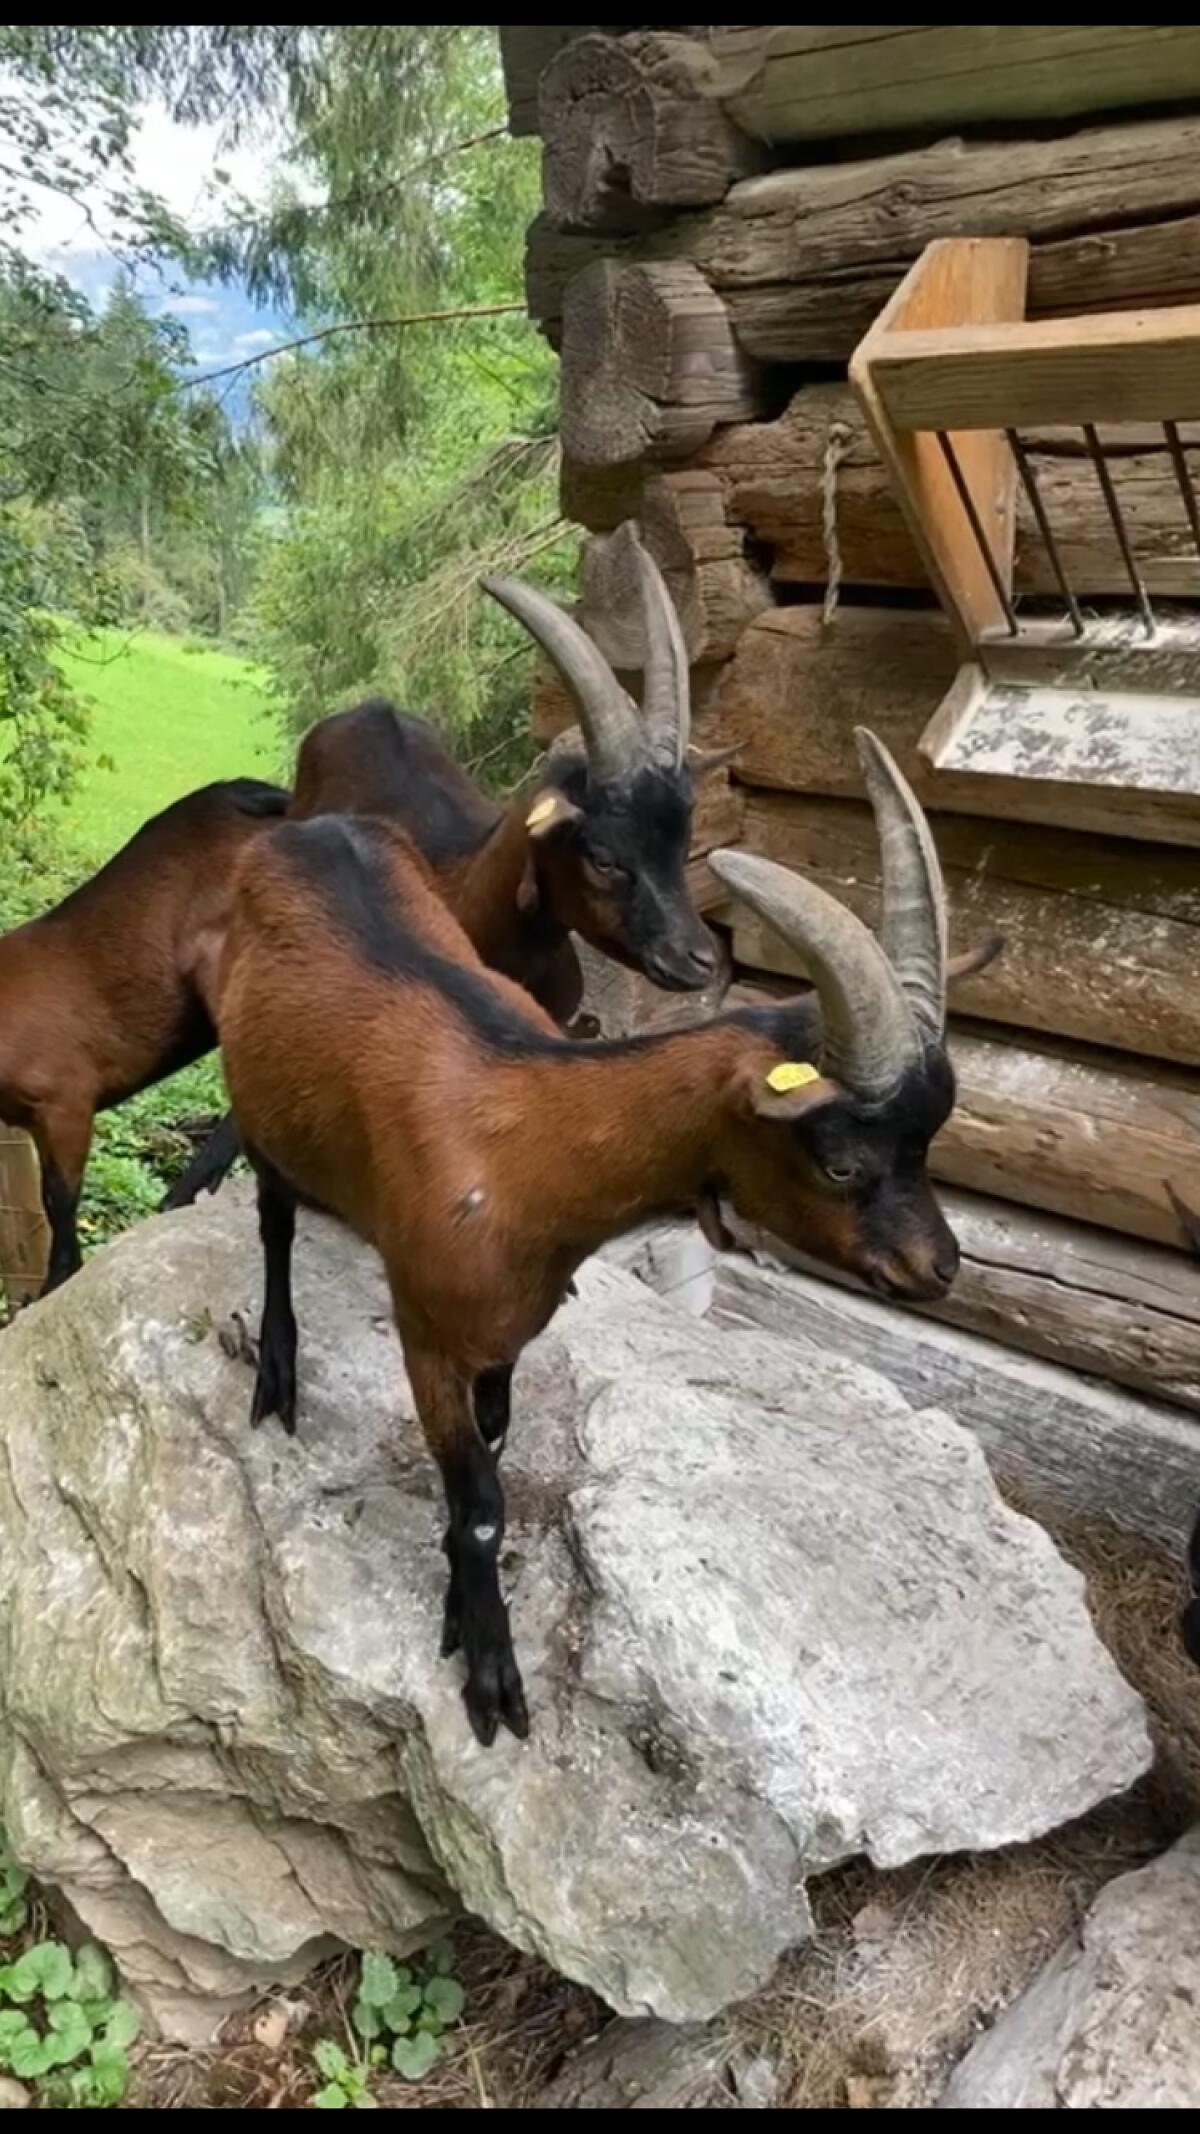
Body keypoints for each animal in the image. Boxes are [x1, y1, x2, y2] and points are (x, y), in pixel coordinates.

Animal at [217, 728, 960, 1746]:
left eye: (931, 1139)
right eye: (843, 1162)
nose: (939, 1268)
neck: (528, 1145)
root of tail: (306, 832)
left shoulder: (505, 1335)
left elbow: (492, 1450)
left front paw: (458, 1609)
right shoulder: (429, 1334)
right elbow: (481, 1507)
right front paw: (491, 1680)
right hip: (254, 1109)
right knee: (274, 1222)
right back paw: (277, 1374)